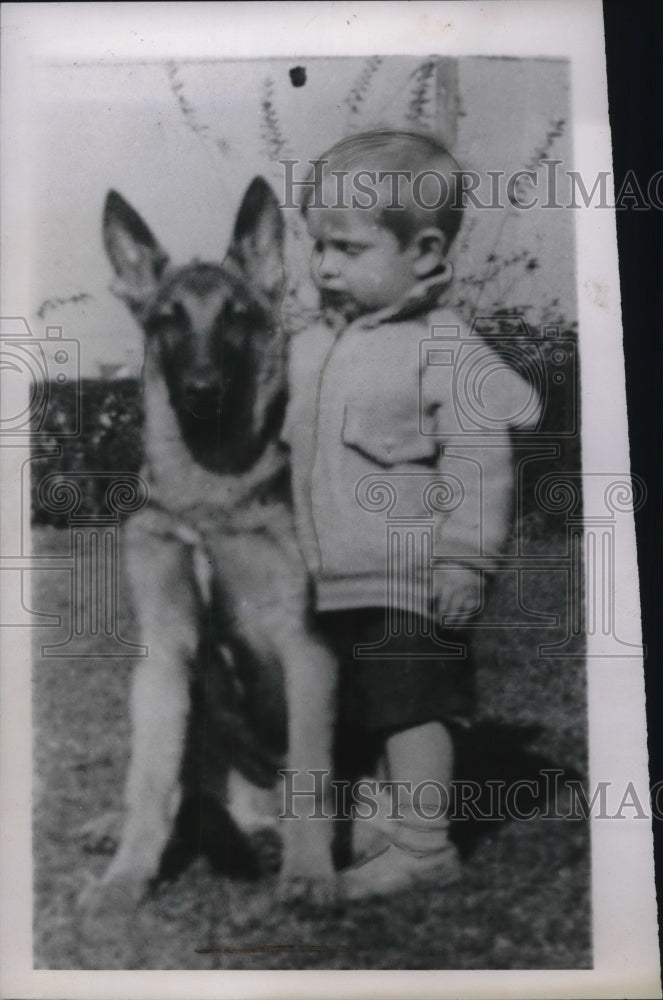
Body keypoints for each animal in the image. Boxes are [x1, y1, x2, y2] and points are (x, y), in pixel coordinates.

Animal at [83, 178, 340, 916]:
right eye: (168, 319)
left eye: (236, 318)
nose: (201, 391)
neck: (207, 499)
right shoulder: (165, 651)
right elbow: (149, 779)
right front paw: (127, 876)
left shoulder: (305, 648)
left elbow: (312, 772)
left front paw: (311, 874)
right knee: (182, 789)